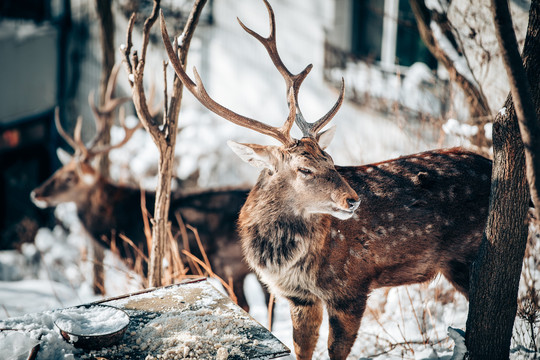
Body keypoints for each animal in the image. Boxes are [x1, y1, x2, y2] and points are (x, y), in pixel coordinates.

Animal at [29, 66, 258, 310]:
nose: (36, 194)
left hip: (228, 264)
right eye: (60, 170)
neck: (118, 222)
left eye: (70, 177)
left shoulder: (143, 260)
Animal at [160, 1, 494, 358]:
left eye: (331, 161)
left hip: (467, 255)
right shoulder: (299, 296)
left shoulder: (350, 286)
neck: (287, 262)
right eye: (304, 168)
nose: (353, 199)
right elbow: (302, 348)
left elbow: (336, 351)